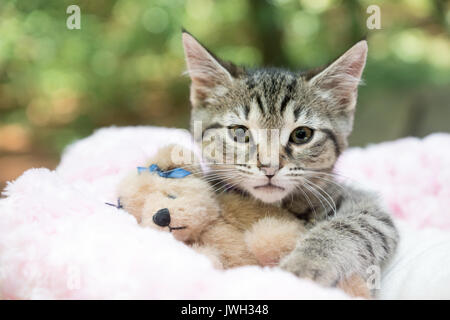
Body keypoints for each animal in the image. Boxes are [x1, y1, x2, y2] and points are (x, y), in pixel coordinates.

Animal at [181, 30, 400, 288]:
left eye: (301, 135)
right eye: (240, 133)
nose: (269, 166)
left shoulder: (369, 210)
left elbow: (351, 226)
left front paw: (305, 264)